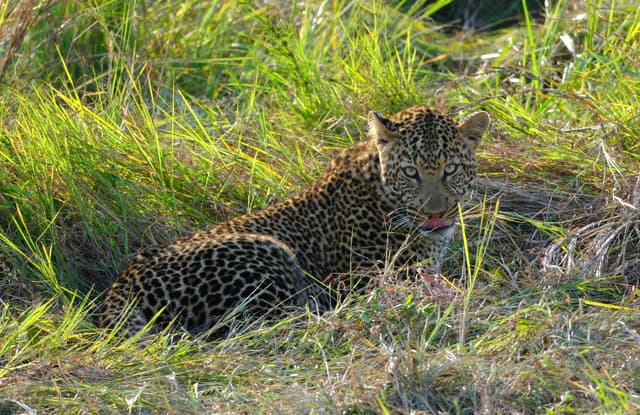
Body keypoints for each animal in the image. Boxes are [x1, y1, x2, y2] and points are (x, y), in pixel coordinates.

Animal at [98, 105, 490, 336]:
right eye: (411, 173)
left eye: (451, 169)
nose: (436, 212)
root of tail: (120, 291)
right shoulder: (376, 276)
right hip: (267, 257)